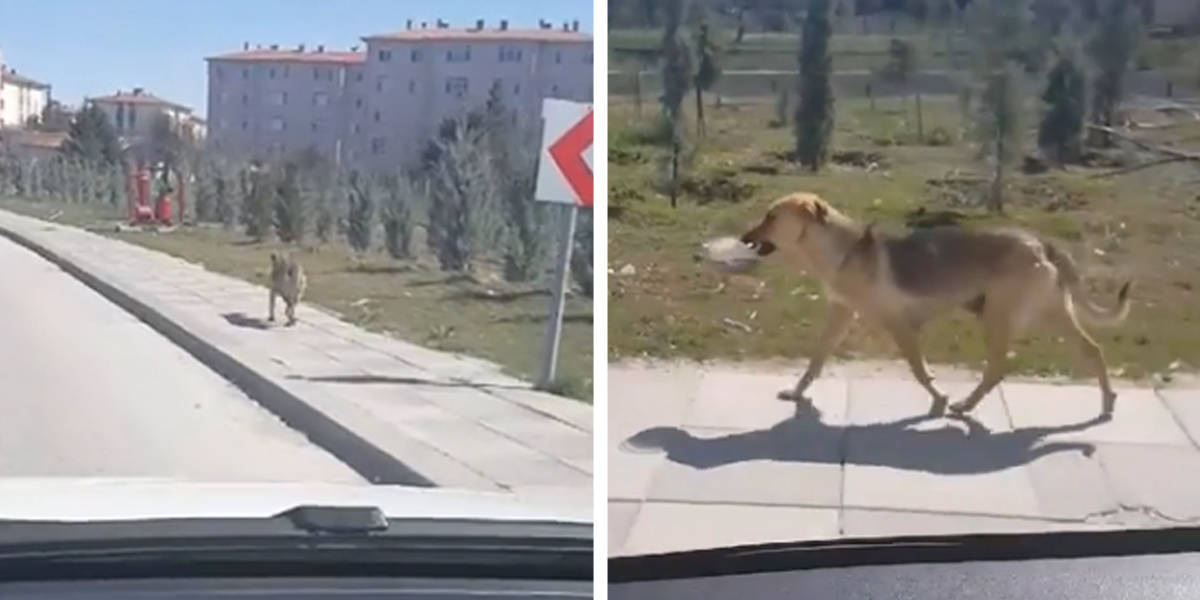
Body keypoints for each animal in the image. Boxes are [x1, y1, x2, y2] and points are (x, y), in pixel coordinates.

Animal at [734, 194, 1128, 420]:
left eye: (771, 217)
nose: (743, 237)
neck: (843, 251)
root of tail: (1039, 242)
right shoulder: (841, 314)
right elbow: (815, 360)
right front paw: (797, 392)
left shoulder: (899, 326)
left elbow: (919, 370)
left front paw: (938, 397)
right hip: (1050, 314)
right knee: (1092, 349)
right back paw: (1107, 402)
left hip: (1000, 317)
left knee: (998, 367)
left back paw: (965, 406)